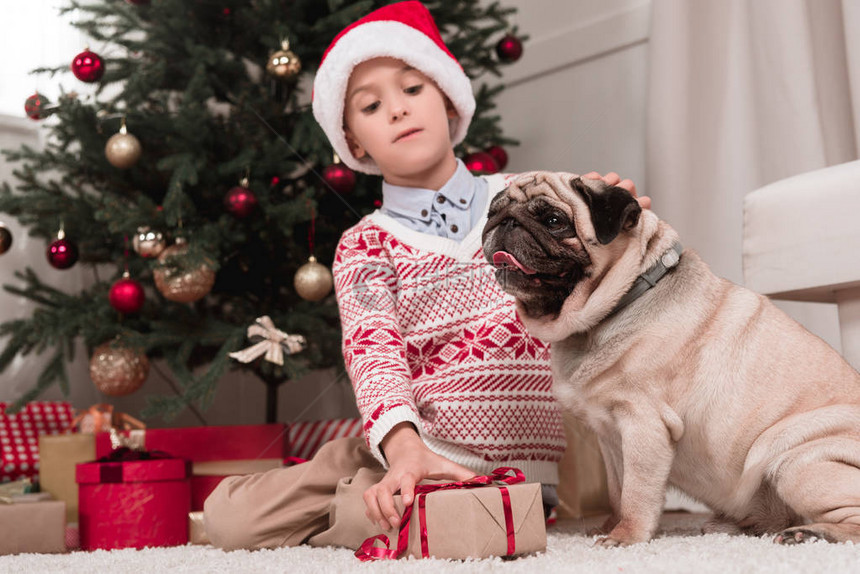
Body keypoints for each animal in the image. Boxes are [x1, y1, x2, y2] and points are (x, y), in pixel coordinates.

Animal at [484, 173, 860, 548]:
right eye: (494, 211)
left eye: (554, 221)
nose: (505, 221)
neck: (625, 296)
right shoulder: (610, 439)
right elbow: (617, 491)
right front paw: (610, 525)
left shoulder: (643, 423)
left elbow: (636, 493)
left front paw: (625, 536)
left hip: (798, 462)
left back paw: (806, 533)